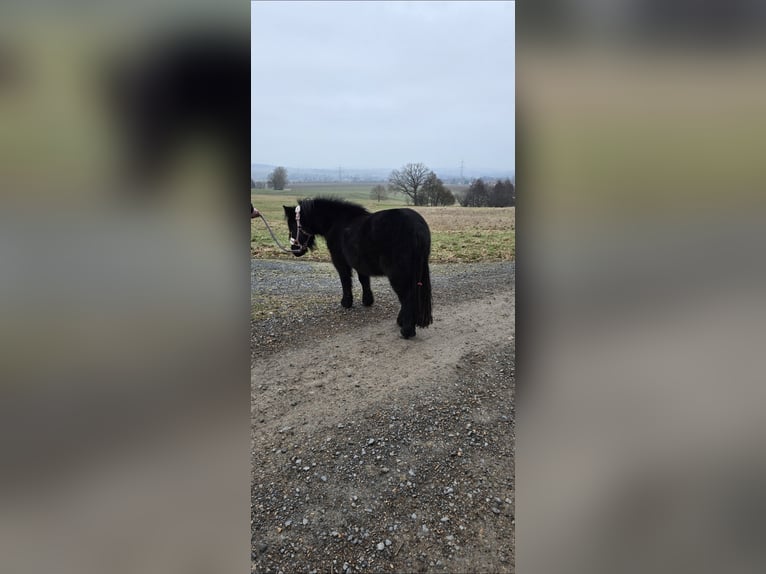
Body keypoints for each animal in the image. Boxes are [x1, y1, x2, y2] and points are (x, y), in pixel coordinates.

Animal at [283, 197, 433, 339]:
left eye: (293, 225)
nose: (295, 250)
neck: (337, 222)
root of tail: (417, 228)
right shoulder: (360, 263)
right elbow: (364, 280)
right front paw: (367, 301)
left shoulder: (340, 262)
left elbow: (345, 280)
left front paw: (346, 302)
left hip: (398, 274)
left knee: (407, 296)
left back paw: (406, 330)